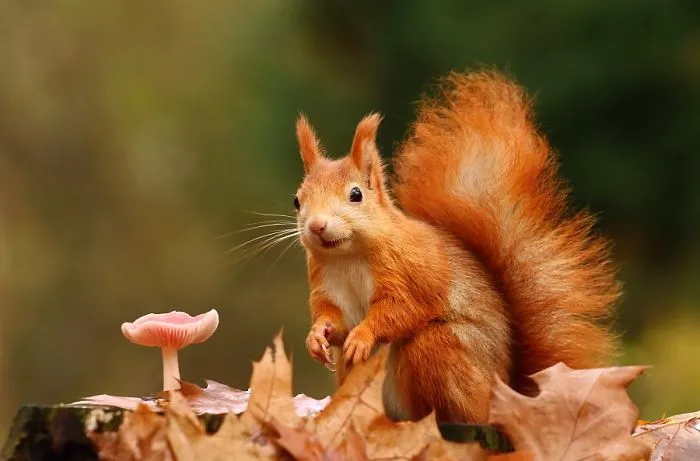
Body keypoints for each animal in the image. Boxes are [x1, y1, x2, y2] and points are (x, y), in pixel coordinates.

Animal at [292, 70, 620, 424]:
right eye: (297, 200)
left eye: (356, 194)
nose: (317, 226)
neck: (348, 256)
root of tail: (508, 394)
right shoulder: (327, 285)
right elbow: (334, 319)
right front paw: (316, 336)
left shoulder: (408, 271)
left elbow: (399, 310)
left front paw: (364, 336)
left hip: (441, 350)